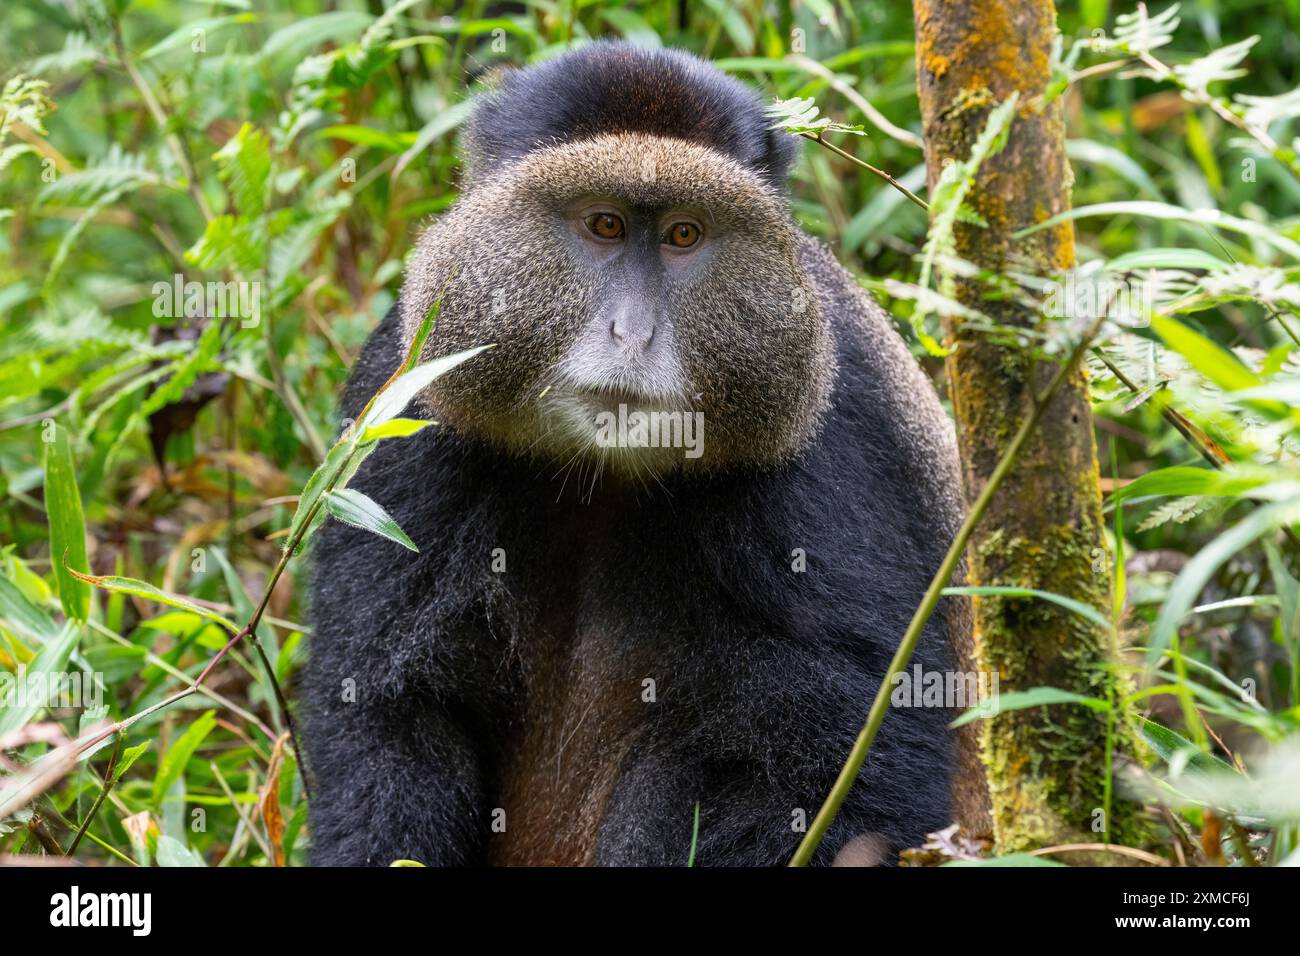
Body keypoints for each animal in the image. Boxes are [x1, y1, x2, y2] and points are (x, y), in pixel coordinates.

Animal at [303, 41, 965, 867]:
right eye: (605, 224)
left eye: (684, 235)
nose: (633, 334)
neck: (606, 474)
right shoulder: (404, 398)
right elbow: (386, 711)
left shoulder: (845, 426)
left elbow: (867, 773)